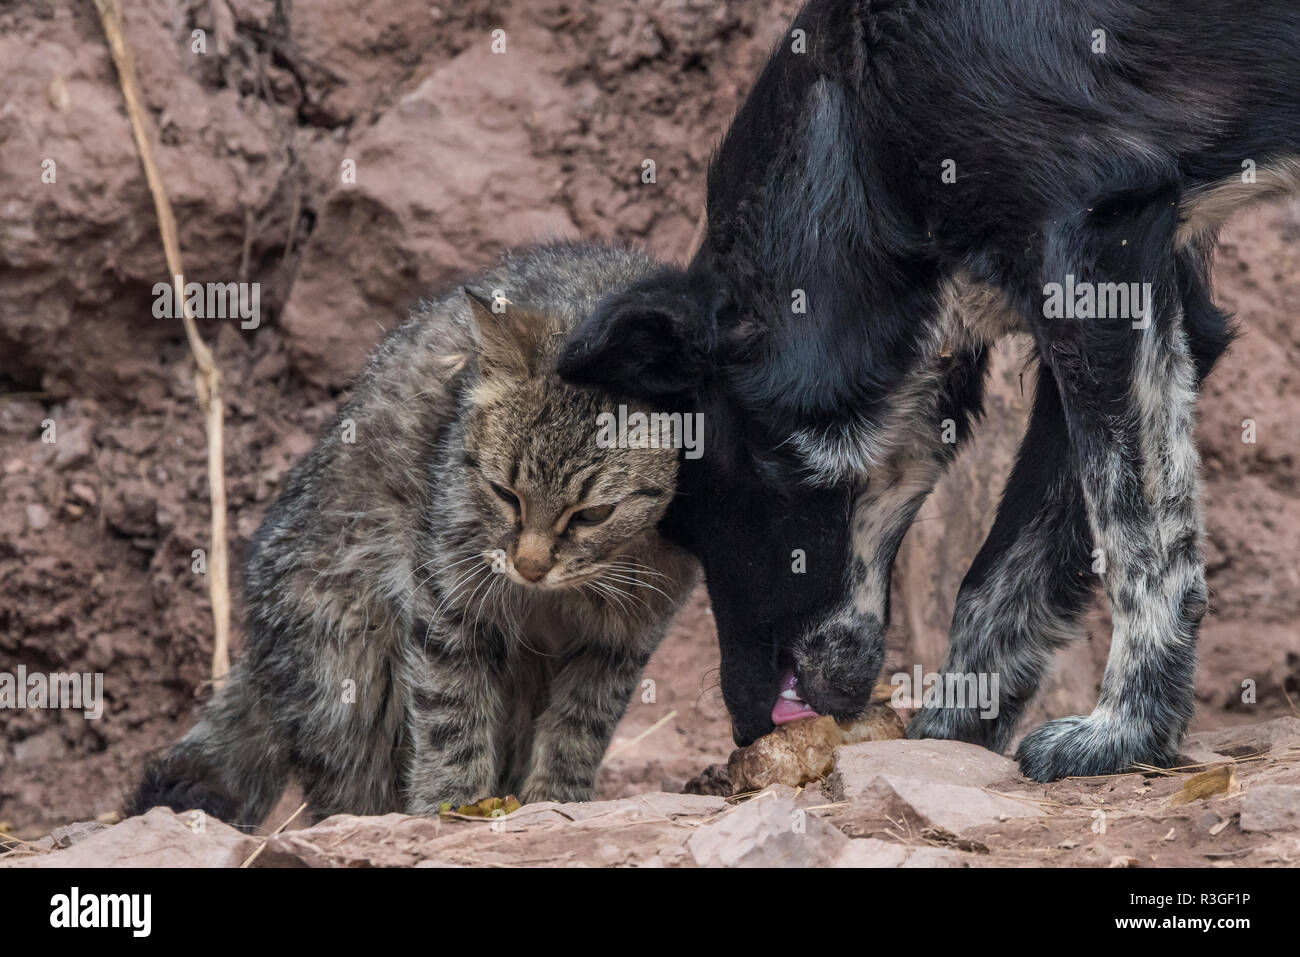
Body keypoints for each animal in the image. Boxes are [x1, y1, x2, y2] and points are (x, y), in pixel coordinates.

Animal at [129, 243, 702, 826]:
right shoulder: (448, 598)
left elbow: (580, 727)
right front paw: (452, 805)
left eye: (593, 515)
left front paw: (557, 801)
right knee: (347, 783)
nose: (529, 567)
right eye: (505, 494)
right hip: (346, 661)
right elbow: (450, 712)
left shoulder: (623, 636)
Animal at [561, 0, 1300, 780]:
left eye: (702, 515)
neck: (857, 133)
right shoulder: (1155, 286)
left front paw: (1126, 733)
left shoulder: (1093, 256)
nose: (745, 725)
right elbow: (1005, 567)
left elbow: (1138, 537)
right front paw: (951, 732)